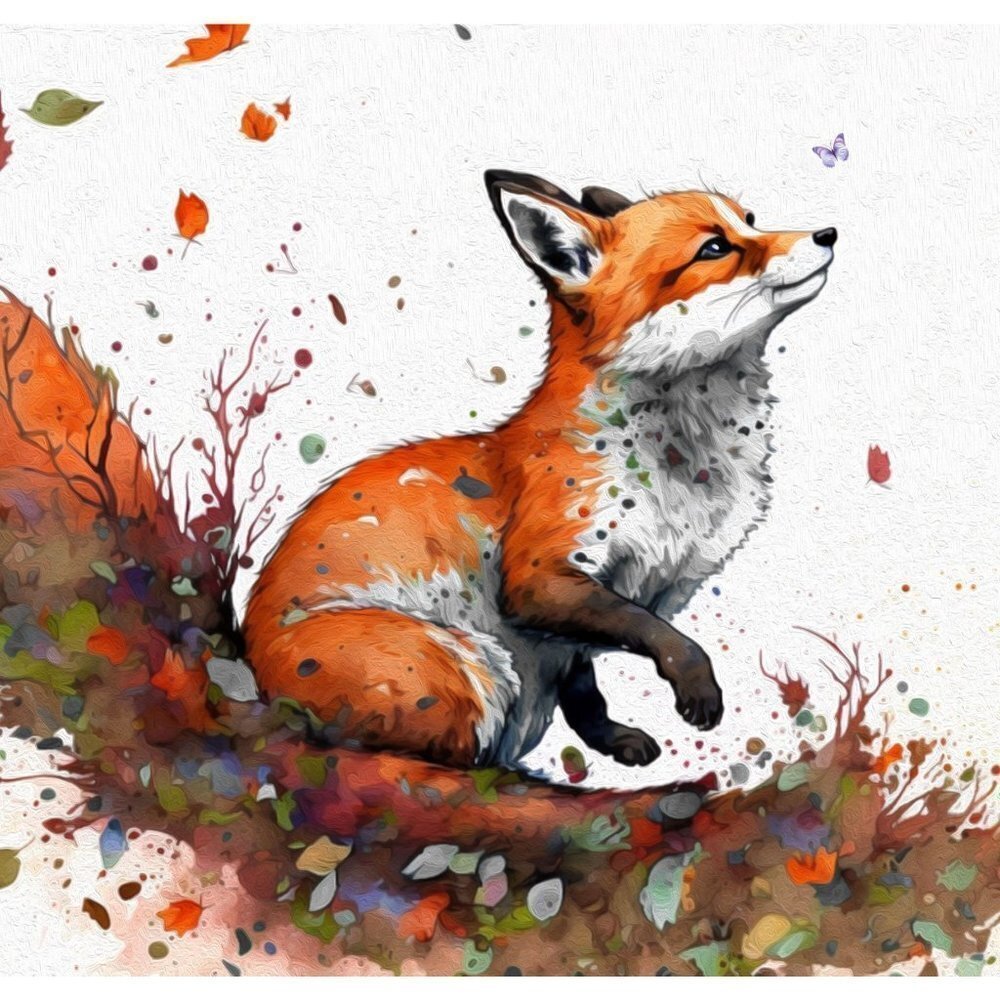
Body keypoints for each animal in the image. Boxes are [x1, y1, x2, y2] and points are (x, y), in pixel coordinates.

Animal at [243, 170, 836, 776]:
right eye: (715, 248)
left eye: (751, 219)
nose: (829, 234)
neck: (681, 469)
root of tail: (262, 688)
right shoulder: (540, 577)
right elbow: (663, 636)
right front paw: (695, 685)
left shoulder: (596, 610)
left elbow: (586, 689)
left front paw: (611, 739)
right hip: (471, 667)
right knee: (442, 759)